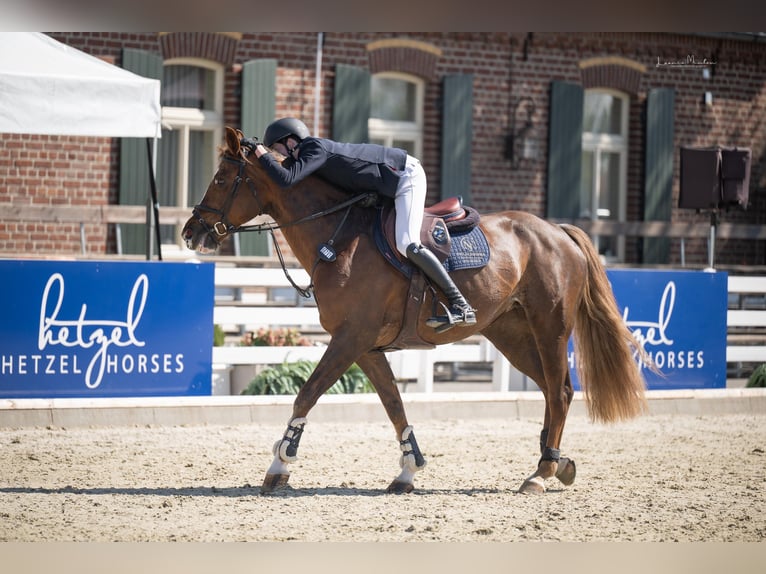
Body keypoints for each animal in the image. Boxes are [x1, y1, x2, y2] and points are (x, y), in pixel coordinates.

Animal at [182, 126, 649, 495]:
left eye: (221, 178)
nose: (191, 233)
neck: (337, 235)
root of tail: (559, 232)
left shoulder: (350, 338)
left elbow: (308, 393)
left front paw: (280, 463)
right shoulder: (366, 346)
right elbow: (394, 405)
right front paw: (408, 470)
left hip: (550, 326)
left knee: (561, 390)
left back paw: (543, 471)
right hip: (510, 333)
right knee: (555, 391)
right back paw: (555, 463)